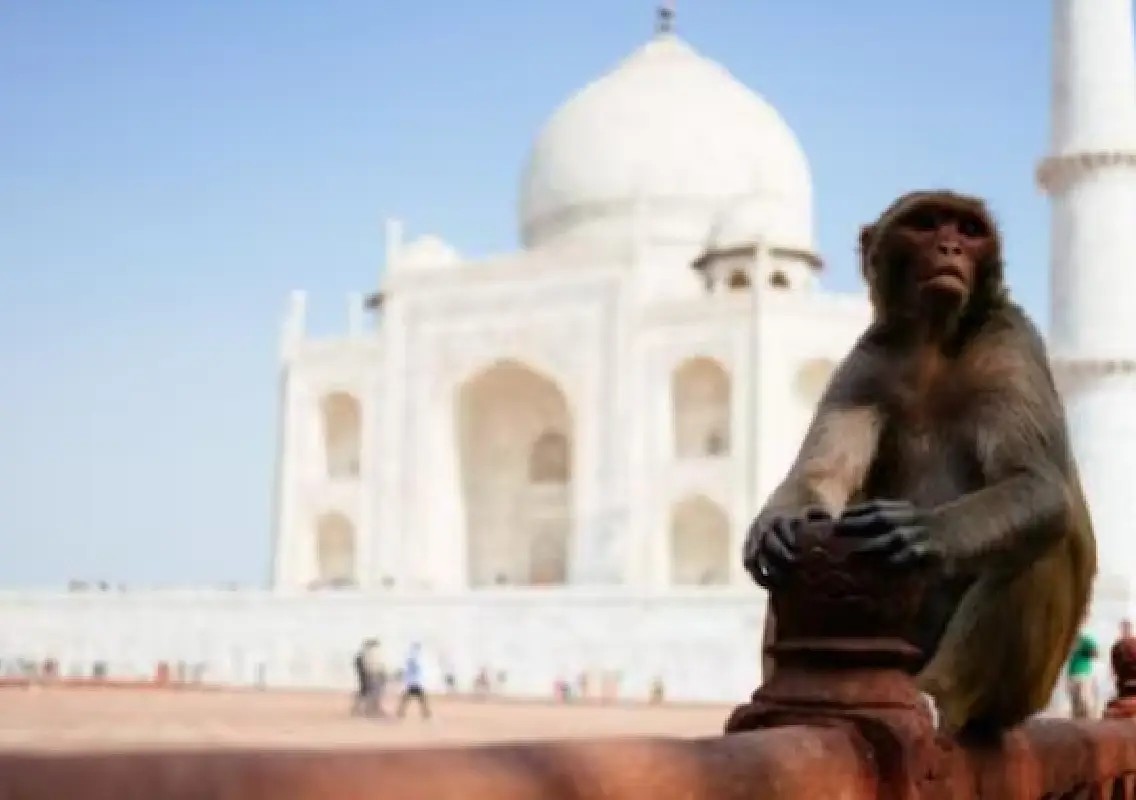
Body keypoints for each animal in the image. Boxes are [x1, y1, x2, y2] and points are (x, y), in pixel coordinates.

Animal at [742, 190, 1097, 738]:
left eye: (968, 229)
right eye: (927, 224)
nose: (951, 247)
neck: (933, 341)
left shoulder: (1011, 338)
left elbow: (1038, 486)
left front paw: (926, 530)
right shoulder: (868, 361)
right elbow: (818, 478)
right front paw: (776, 523)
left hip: (1020, 695)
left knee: (1038, 543)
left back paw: (937, 697)